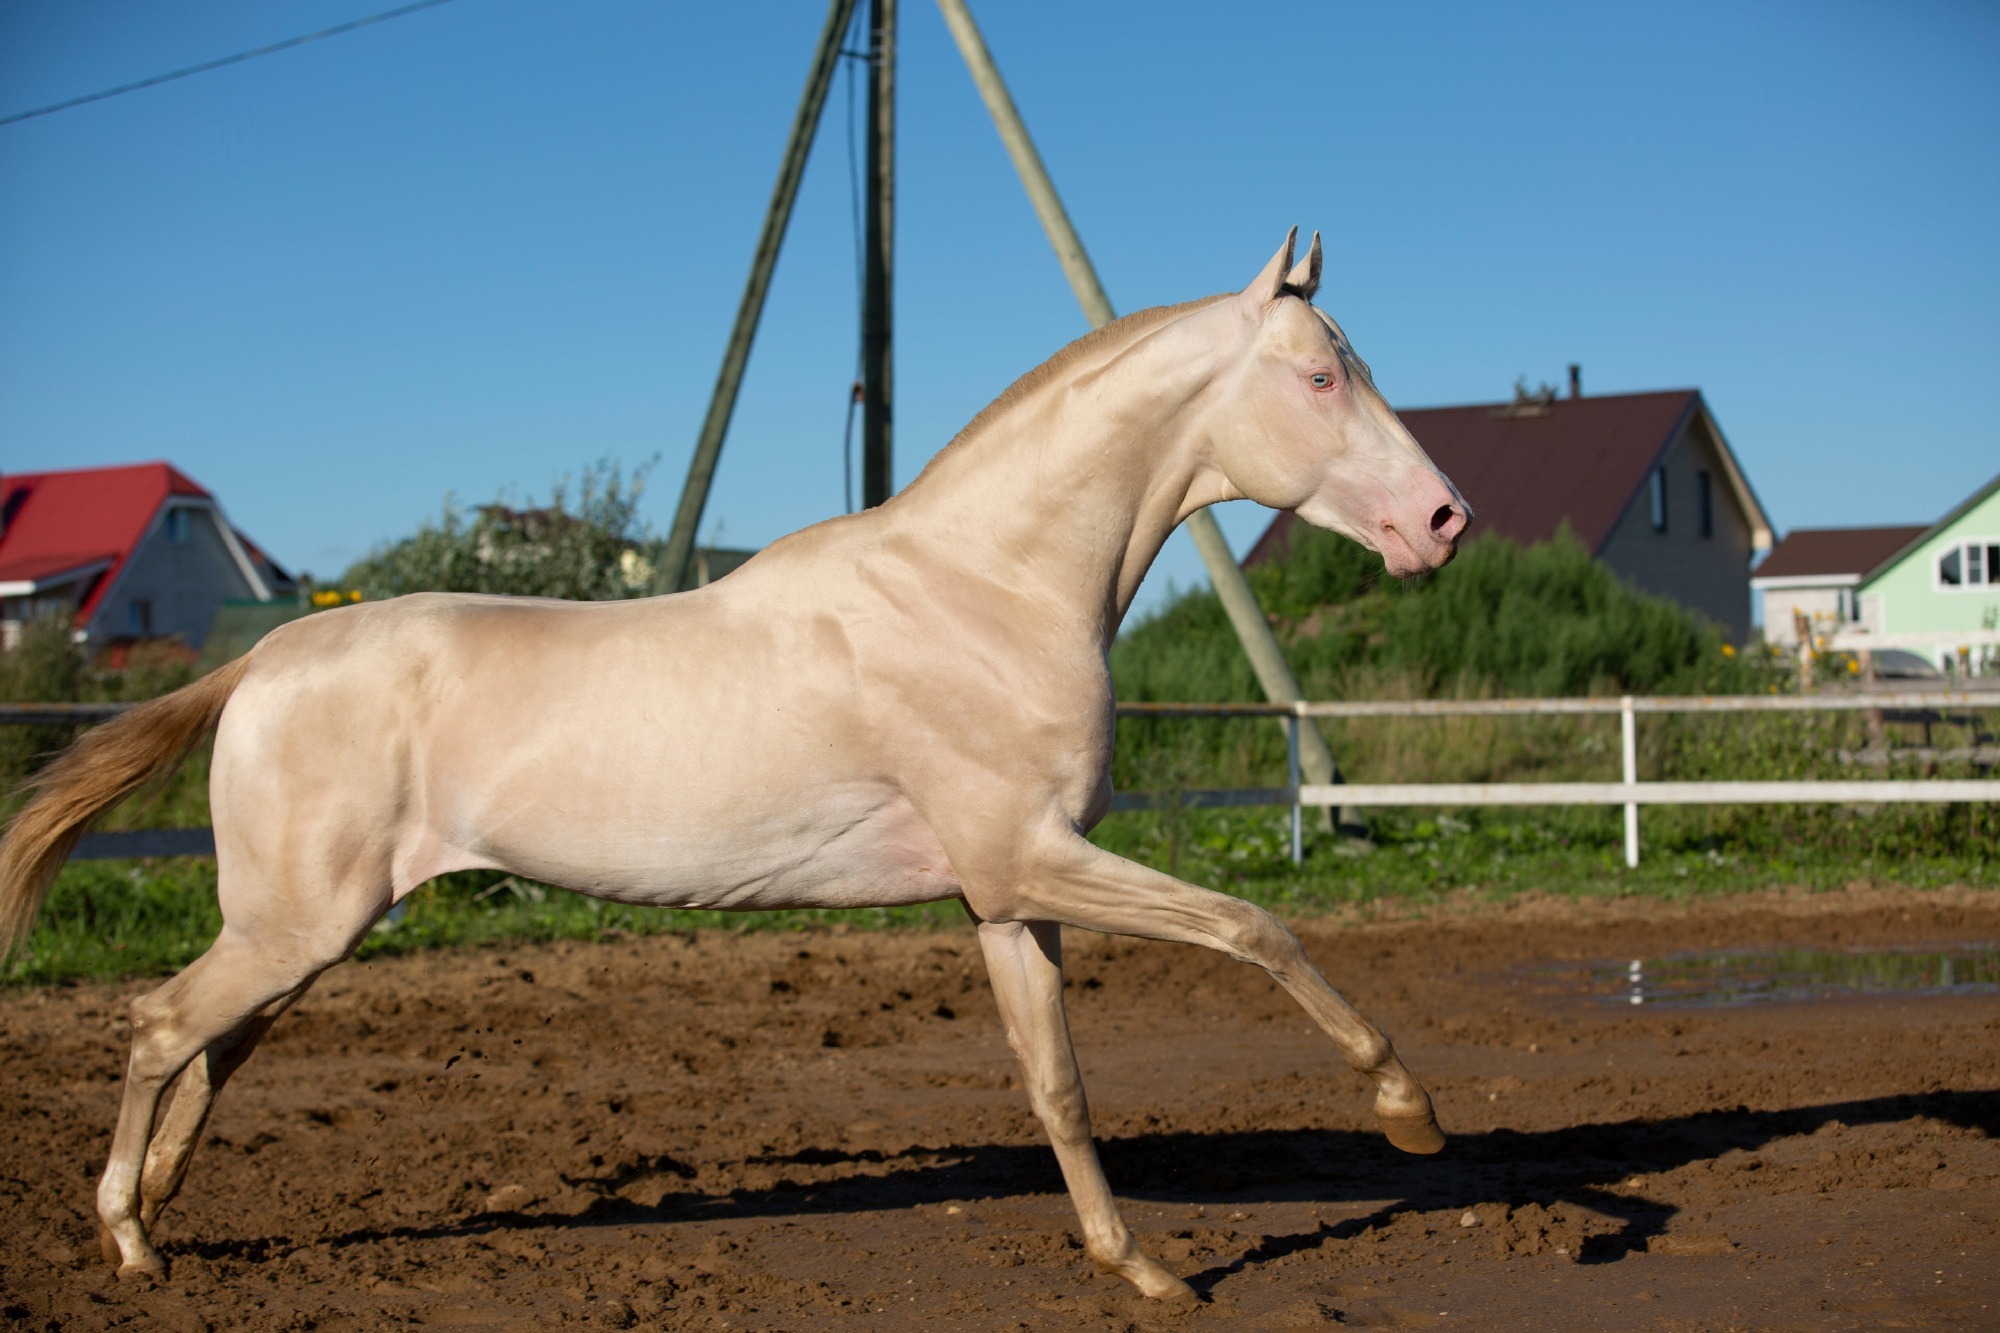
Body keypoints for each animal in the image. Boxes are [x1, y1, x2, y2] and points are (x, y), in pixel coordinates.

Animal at [0, 229, 1468, 1301]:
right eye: (1324, 376)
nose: (1444, 521)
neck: (989, 587)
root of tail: (260, 661)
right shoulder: (1034, 859)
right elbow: (1256, 927)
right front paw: (1410, 1117)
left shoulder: (1007, 897)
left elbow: (1058, 1084)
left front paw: (1142, 1269)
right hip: (295, 924)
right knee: (159, 1025)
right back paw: (130, 1240)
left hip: (309, 931)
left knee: (215, 1046)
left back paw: (168, 1210)